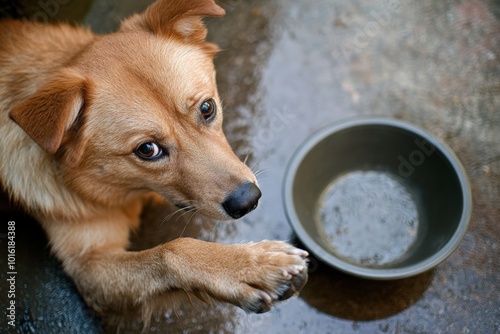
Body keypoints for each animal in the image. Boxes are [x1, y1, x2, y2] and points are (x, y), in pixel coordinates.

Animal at [0, 0, 308, 318]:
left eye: (207, 108)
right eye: (147, 149)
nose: (248, 200)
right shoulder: (89, 266)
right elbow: (173, 250)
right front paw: (247, 266)